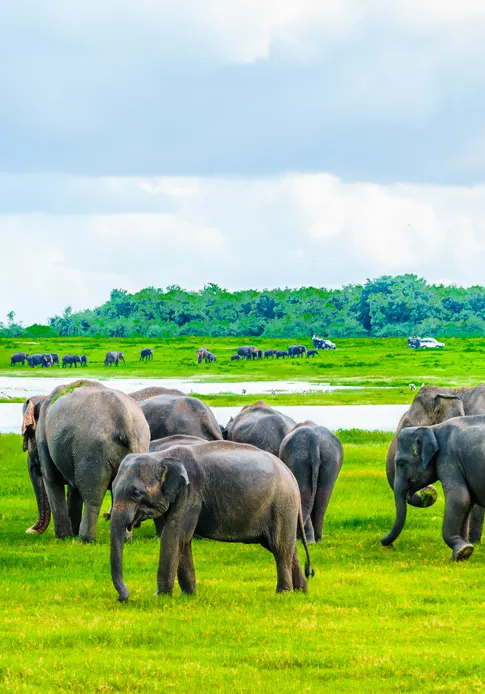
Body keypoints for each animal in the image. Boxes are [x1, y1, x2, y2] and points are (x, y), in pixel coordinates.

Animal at [21, 380, 149, 544]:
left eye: (27, 434)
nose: (29, 530)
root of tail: (124, 418)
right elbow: (73, 488)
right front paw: (71, 534)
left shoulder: (44, 439)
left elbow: (52, 480)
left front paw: (64, 538)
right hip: (140, 446)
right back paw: (124, 540)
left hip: (92, 451)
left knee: (92, 495)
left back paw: (85, 539)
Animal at [109, 446, 314, 604]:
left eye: (136, 493)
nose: (123, 598)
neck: (162, 455)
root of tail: (291, 476)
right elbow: (183, 540)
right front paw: (187, 597)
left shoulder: (191, 494)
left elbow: (174, 535)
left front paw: (160, 598)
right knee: (287, 547)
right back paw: (301, 591)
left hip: (282, 505)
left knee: (279, 547)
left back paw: (283, 594)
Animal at [380, 416, 484, 564]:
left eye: (400, 463)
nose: (386, 544)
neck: (433, 429)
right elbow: (468, 503)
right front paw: (463, 553)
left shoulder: (448, 458)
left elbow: (459, 499)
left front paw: (462, 551)